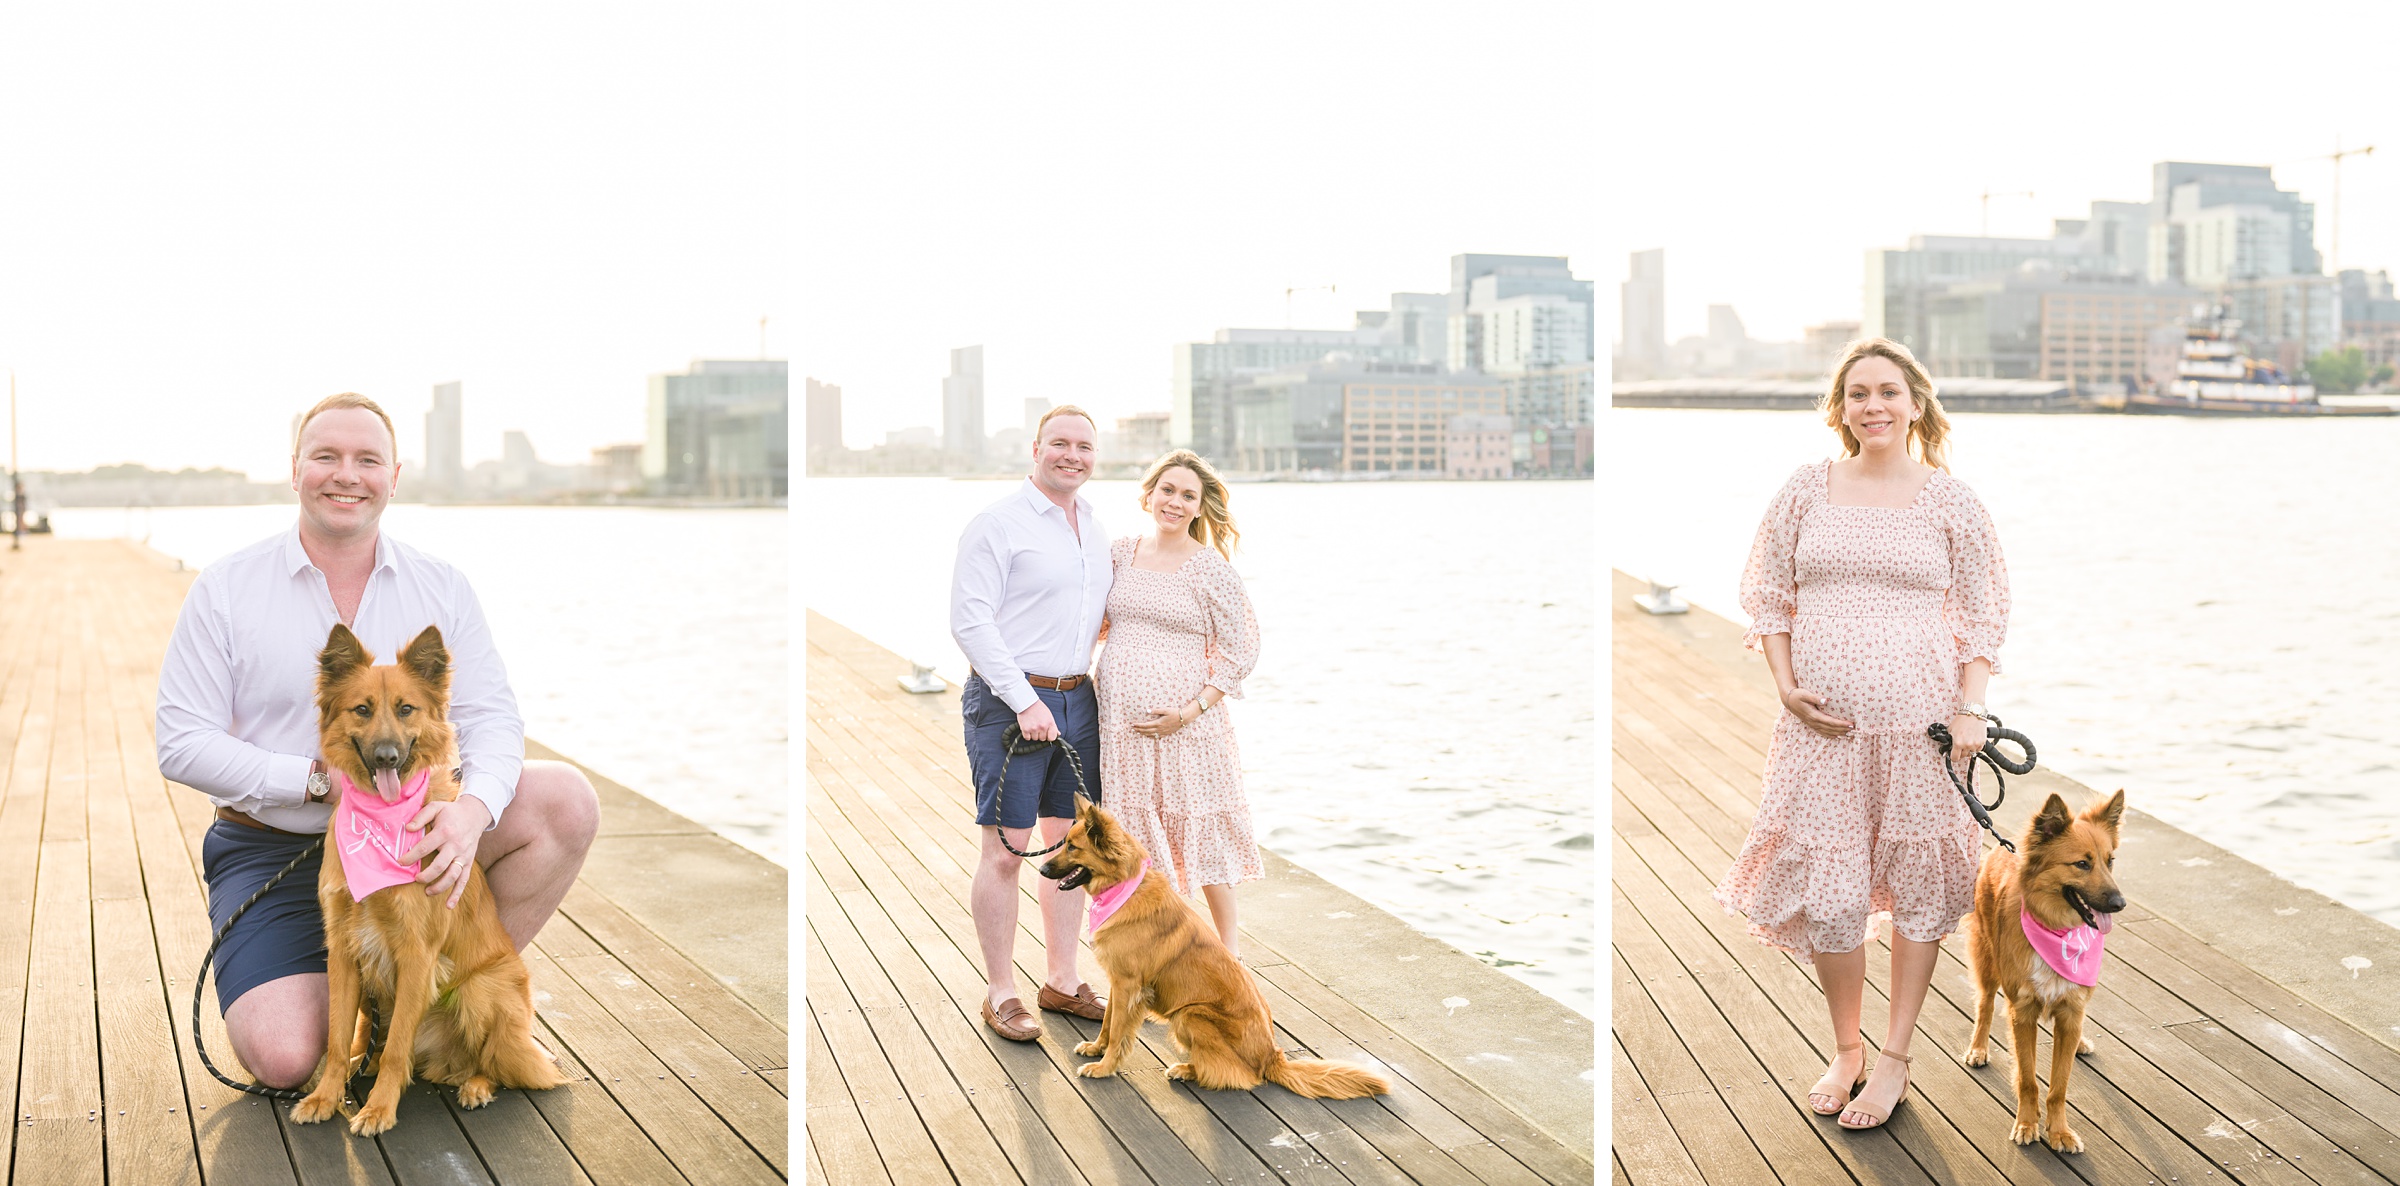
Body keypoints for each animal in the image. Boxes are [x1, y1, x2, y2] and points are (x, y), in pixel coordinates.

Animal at [290, 624, 561, 1133]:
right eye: (362, 709)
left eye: (406, 709)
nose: (386, 756)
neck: (384, 819)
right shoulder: (343, 949)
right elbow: (336, 1039)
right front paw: (325, 1096)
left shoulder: (418, 952)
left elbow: (398, 1045)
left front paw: (379, 1109)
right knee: (373, 1044)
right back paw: (364, 1063)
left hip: (480, 989)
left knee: (491, 1061)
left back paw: (475, 1085)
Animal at [1041, 801, 1401, 1099]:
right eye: (1065, 842)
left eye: (1073, 847)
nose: (1042, 870)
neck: (1124, 888)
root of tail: (1272, 1057)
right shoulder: (1119, 983)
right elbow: (1108, 1022)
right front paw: (1096, 1049)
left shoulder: (1129, 985)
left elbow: (1118, 1032)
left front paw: (1105, 1068)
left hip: (1190, 1014)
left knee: (1238, 1075)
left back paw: (1188, 1069)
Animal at [1968, 792, 2121, 1152]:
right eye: (2082, 864)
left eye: (2110, 862)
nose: (2119, 903)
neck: (2059, 930)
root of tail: (2004, 846)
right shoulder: (2022, 1013)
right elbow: (2028, 1079)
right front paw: (2027, 1124)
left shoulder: (2070, 1010)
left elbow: (2059, 1086)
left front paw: (2059, 1131)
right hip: (1986, 958)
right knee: (1985, 1004)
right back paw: (1979, 1048)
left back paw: (2081, 1044)